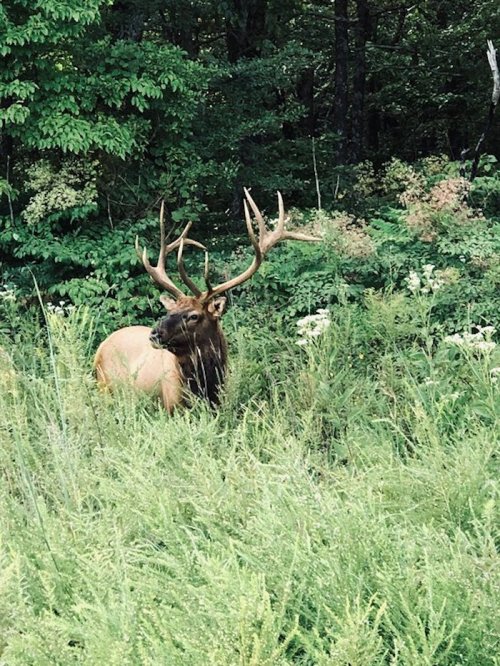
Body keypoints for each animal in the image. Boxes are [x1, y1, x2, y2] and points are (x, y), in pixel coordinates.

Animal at [94, 189, 321, 412]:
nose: (155, 334)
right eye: (169, 311)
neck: (205, 387)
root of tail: (101, 347)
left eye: (194, 316)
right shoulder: (171, 407)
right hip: (104, 386)